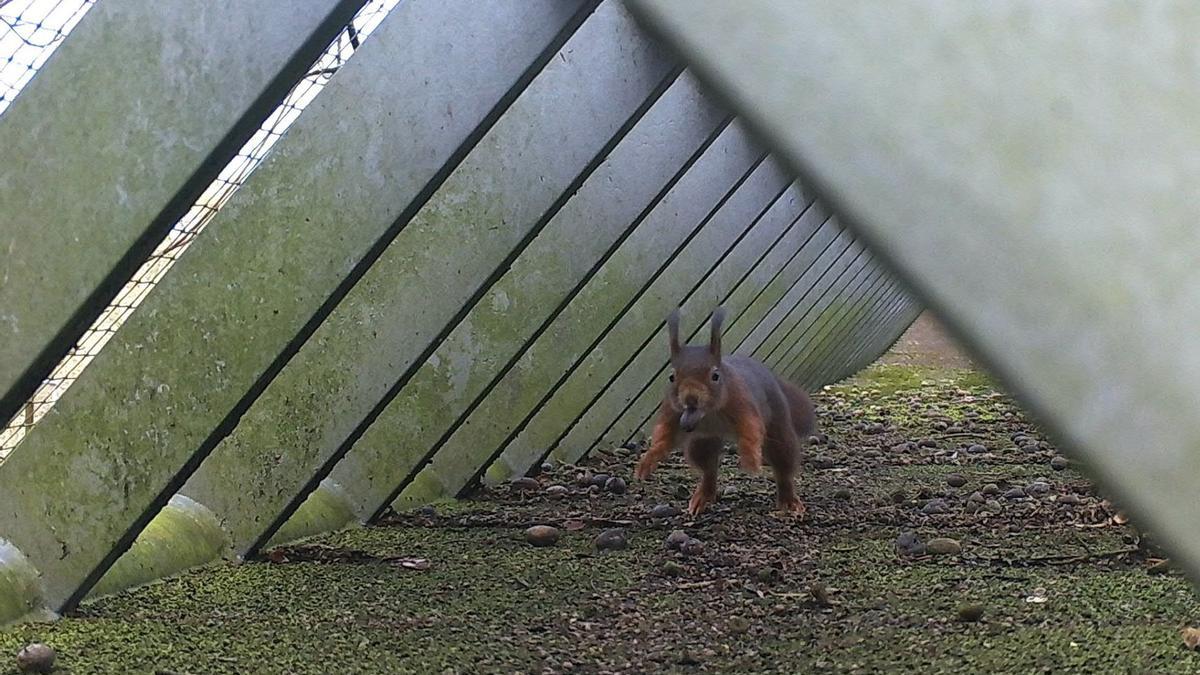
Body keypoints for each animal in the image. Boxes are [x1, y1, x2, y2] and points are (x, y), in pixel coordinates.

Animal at [628, 306, 816, 514]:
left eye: (715, 376)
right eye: (671, 377)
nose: (691, 398)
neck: (708, 413)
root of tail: (773, 376)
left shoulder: (742, 402)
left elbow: (750, 430)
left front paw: (750, 459)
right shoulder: (673, 412)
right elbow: (665, 436)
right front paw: (647, 461)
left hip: (778, 424)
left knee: (783, 466)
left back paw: (789, 500)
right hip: (703, 441)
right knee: (708, 469)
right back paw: (702, 496)